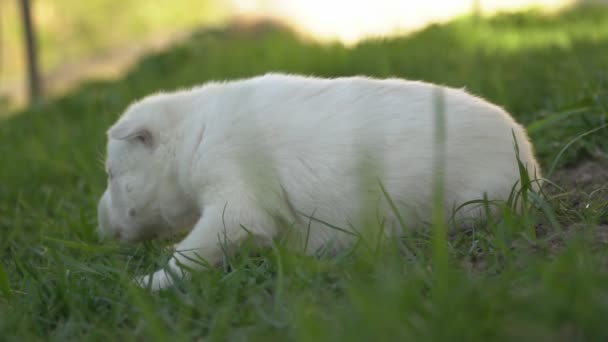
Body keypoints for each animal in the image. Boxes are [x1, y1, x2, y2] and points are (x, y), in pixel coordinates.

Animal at [98, 73, 540, 290]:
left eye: (111, 175)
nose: (99, 227)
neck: (192, 132)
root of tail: (530, 162)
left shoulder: (235, 203)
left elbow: (191, 253)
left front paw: (149, 283)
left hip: (473, 204)